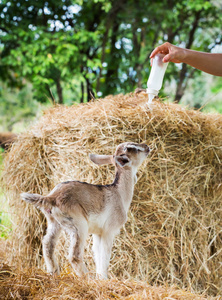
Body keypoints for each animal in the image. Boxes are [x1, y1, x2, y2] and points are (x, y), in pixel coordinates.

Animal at [21, 142, 149, 278]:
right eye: (133, 148)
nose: (147, 147)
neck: (119, 193)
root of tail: (52, 197)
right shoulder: (109, 230)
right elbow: (105, 254)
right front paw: (104, 278)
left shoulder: (98, 232)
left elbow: (97, 253)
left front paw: (100, 277)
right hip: (78, 225)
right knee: (74, 255)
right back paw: (87, 278)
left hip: (54, 222)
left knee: (47, 244)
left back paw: (54, 273)